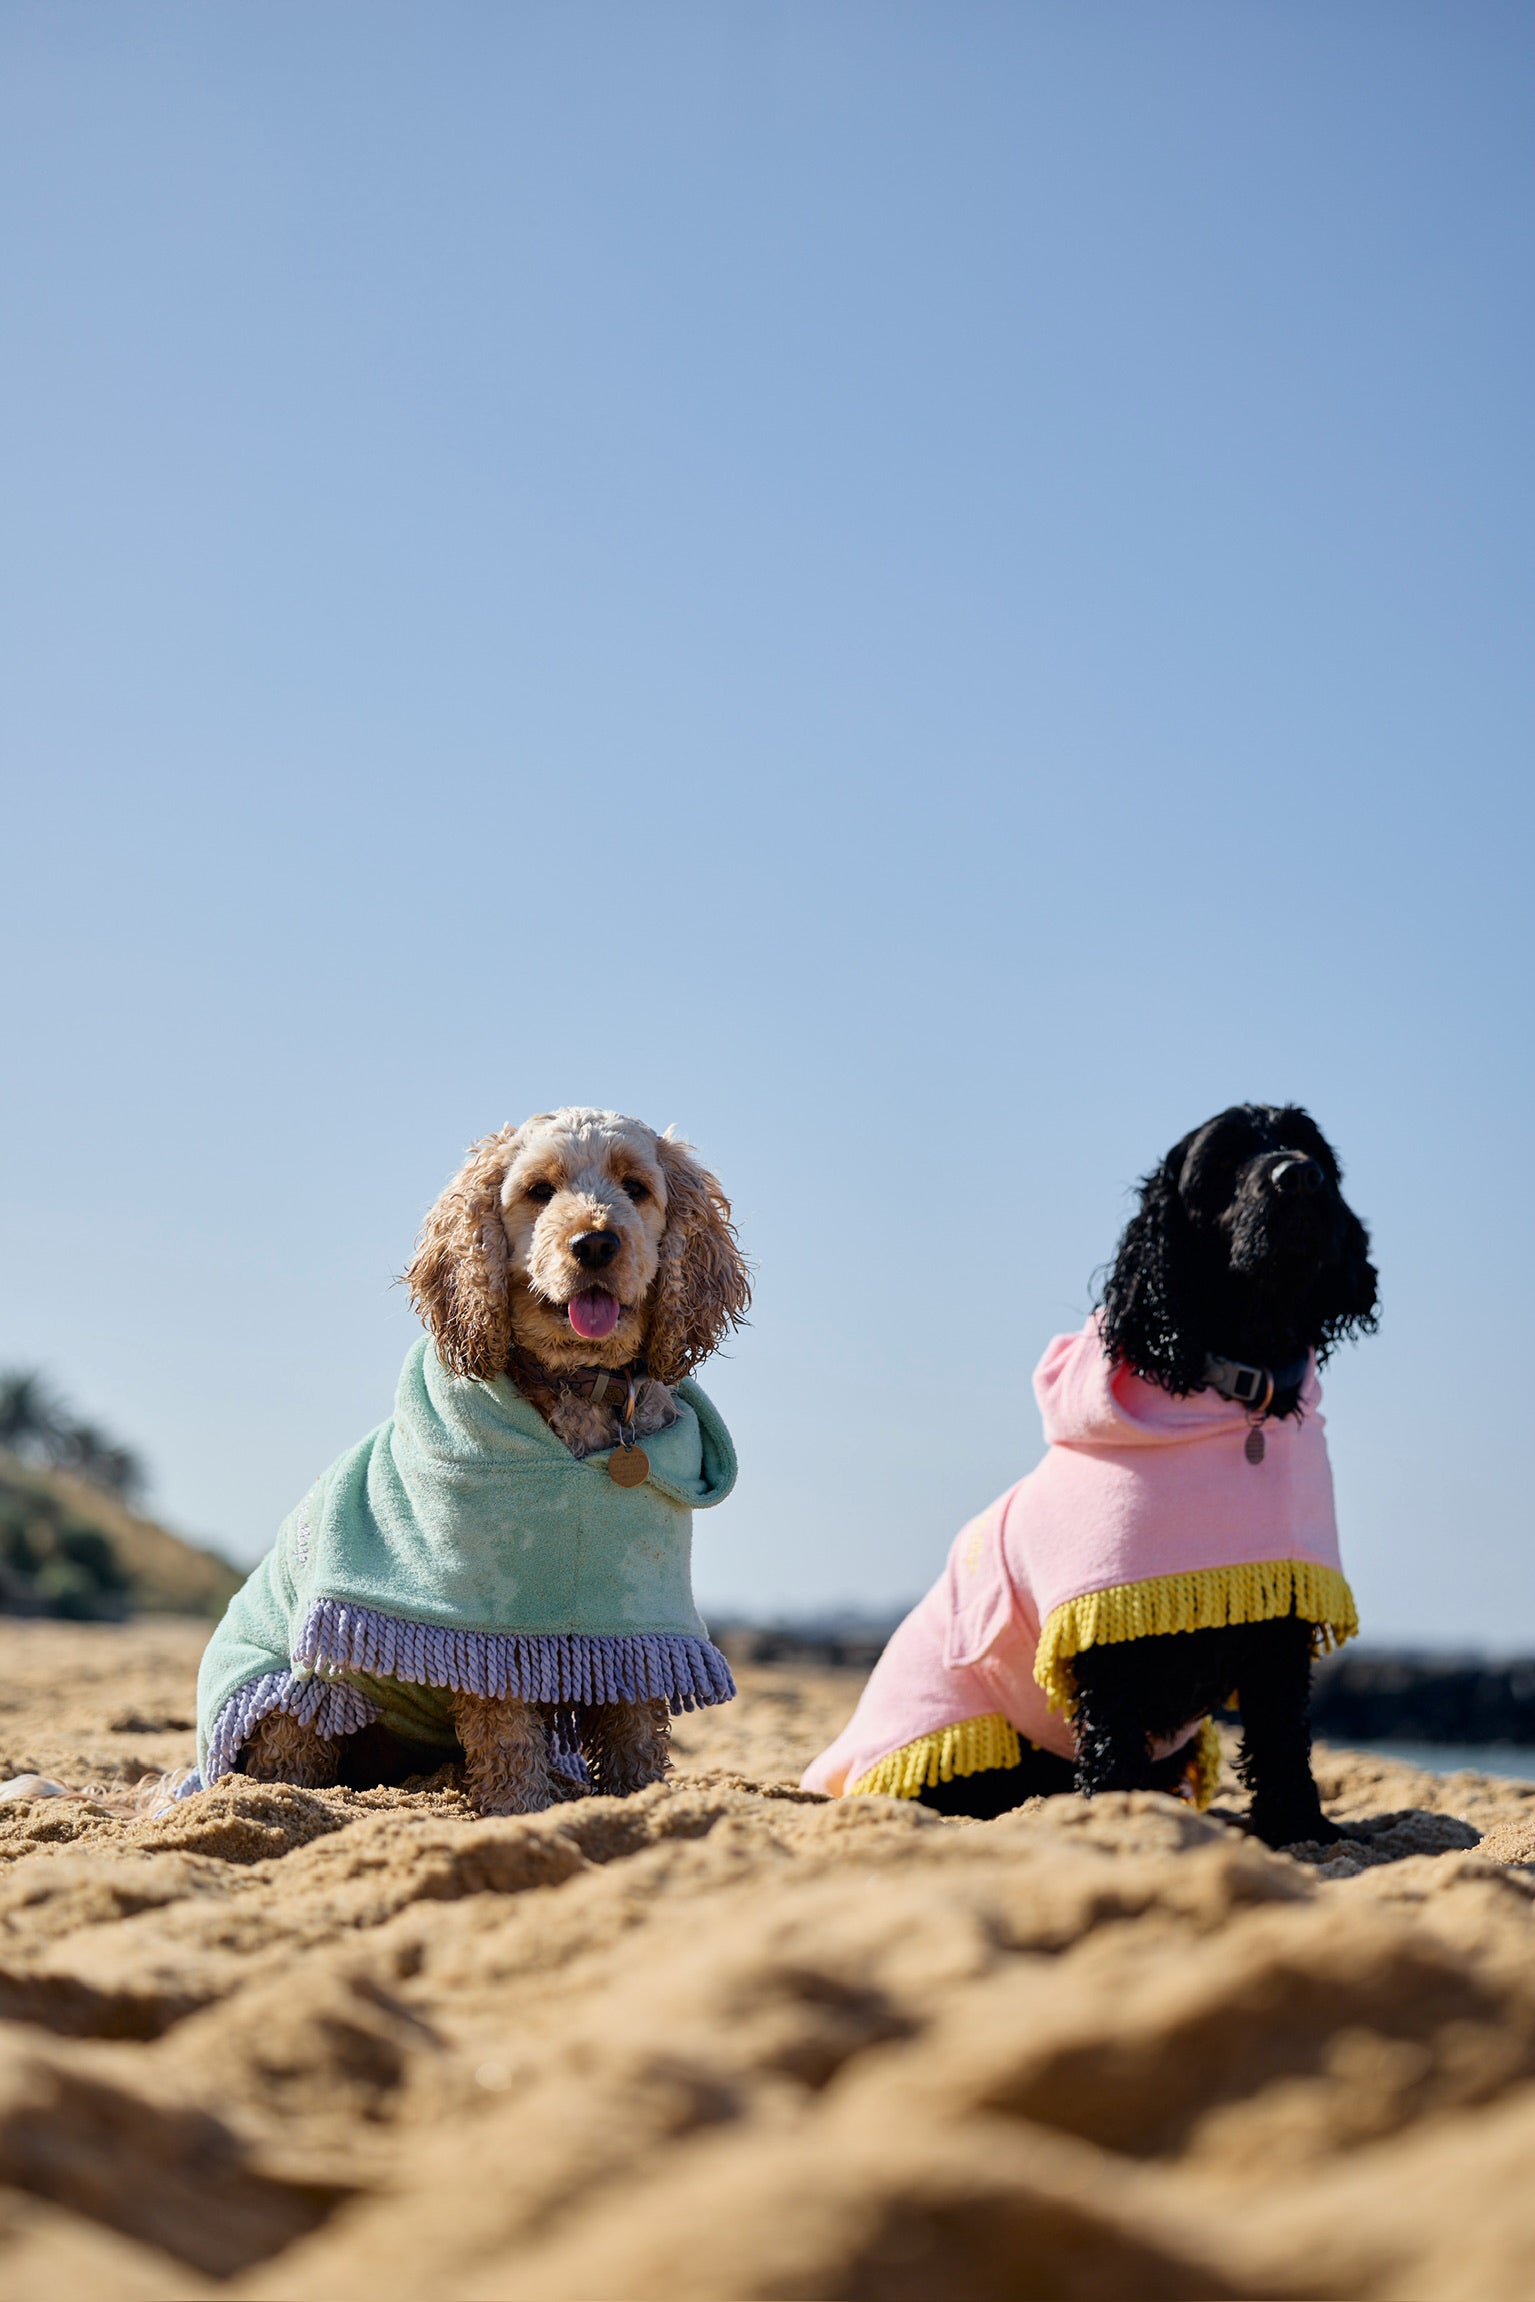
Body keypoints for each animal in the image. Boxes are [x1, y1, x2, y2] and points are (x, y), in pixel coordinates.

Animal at [925, 1104, 1380, 1841]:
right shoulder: (1106, 1627)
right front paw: (1117, 1810)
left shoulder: (1281, 1610)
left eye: (1309, 1147)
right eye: (1223, 1160)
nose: (1300, 1177)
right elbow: (1111, 1733)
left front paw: (1298, 1825)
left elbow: (1283, 1732)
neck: (1241, 1391)